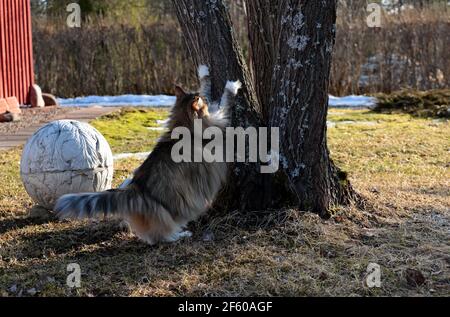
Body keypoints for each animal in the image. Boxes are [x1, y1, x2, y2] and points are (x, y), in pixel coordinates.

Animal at [55, 65, 243, 244]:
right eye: (202, 101)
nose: (202, 98)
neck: (184, 122)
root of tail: (136, 189)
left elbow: (206, 86)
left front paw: (203, 72)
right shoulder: (217, 121)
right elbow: (225, 101)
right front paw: (232, 86)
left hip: (129, 181)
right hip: (166, 213)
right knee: (160, 236)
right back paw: (180, 235)